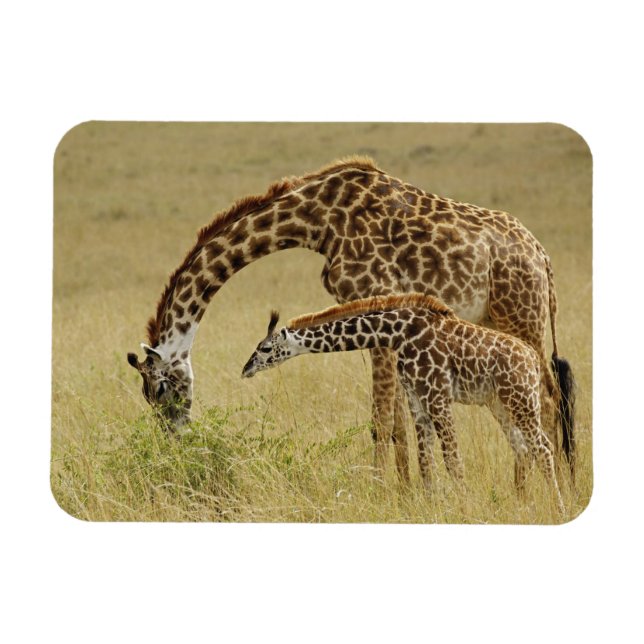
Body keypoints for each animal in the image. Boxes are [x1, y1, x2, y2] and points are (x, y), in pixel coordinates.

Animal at [126, 156, 575, 479]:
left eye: (161, 389)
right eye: (147, 396)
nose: (177, 442)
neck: (316, 222)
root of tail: (543, 257)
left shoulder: (375, 301)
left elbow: (381, 421)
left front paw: (385, 494)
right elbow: (397, 424)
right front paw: (409, 494)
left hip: (523, 316)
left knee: (549, 398)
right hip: (500, 321)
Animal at [241, 294, 565, 514]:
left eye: (265, 348)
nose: (245, 370)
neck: (398, 333)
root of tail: (532, 360)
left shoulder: (437, 395)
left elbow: (453, 459)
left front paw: (465, 509)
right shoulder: (417, 400)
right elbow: (425, 461)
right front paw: (434, 507)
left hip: (521, 400)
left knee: (543, 447)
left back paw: (558, 506)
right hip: (500, 403)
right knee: (523, 447)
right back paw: (525, 504)